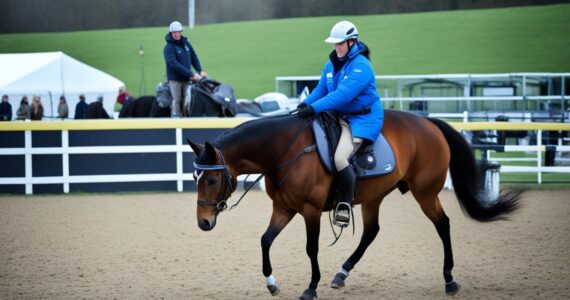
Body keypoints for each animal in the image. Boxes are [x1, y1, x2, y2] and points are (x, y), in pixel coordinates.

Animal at [187, 110, 520, 300]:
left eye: (212, 180)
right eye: (195, 177)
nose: (203, 222)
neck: (285, 151)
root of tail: (429, 123)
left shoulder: (309, 211)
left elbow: (311, 249)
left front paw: (311, 287)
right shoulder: (283, 208)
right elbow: (265, 240)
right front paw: (271, 282)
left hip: (425, 193)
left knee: (443, 224)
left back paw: (449, 279)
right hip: (375, 196)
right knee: (371, 232)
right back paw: (341, 274)